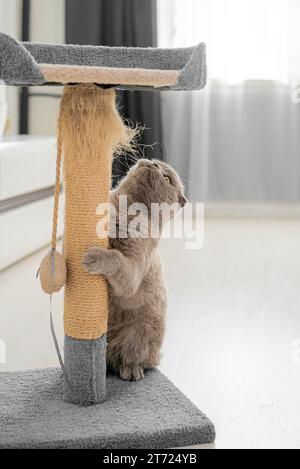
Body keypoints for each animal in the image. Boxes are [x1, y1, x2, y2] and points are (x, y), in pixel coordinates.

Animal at [82, 159, 188, 378]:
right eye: (155, 163)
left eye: (167, 179)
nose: (153, 165)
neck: (125, 209)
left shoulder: (132, 270)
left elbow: (115, 258)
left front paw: (93, 257)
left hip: (142, 334)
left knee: (136, 359)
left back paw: (131, 371)